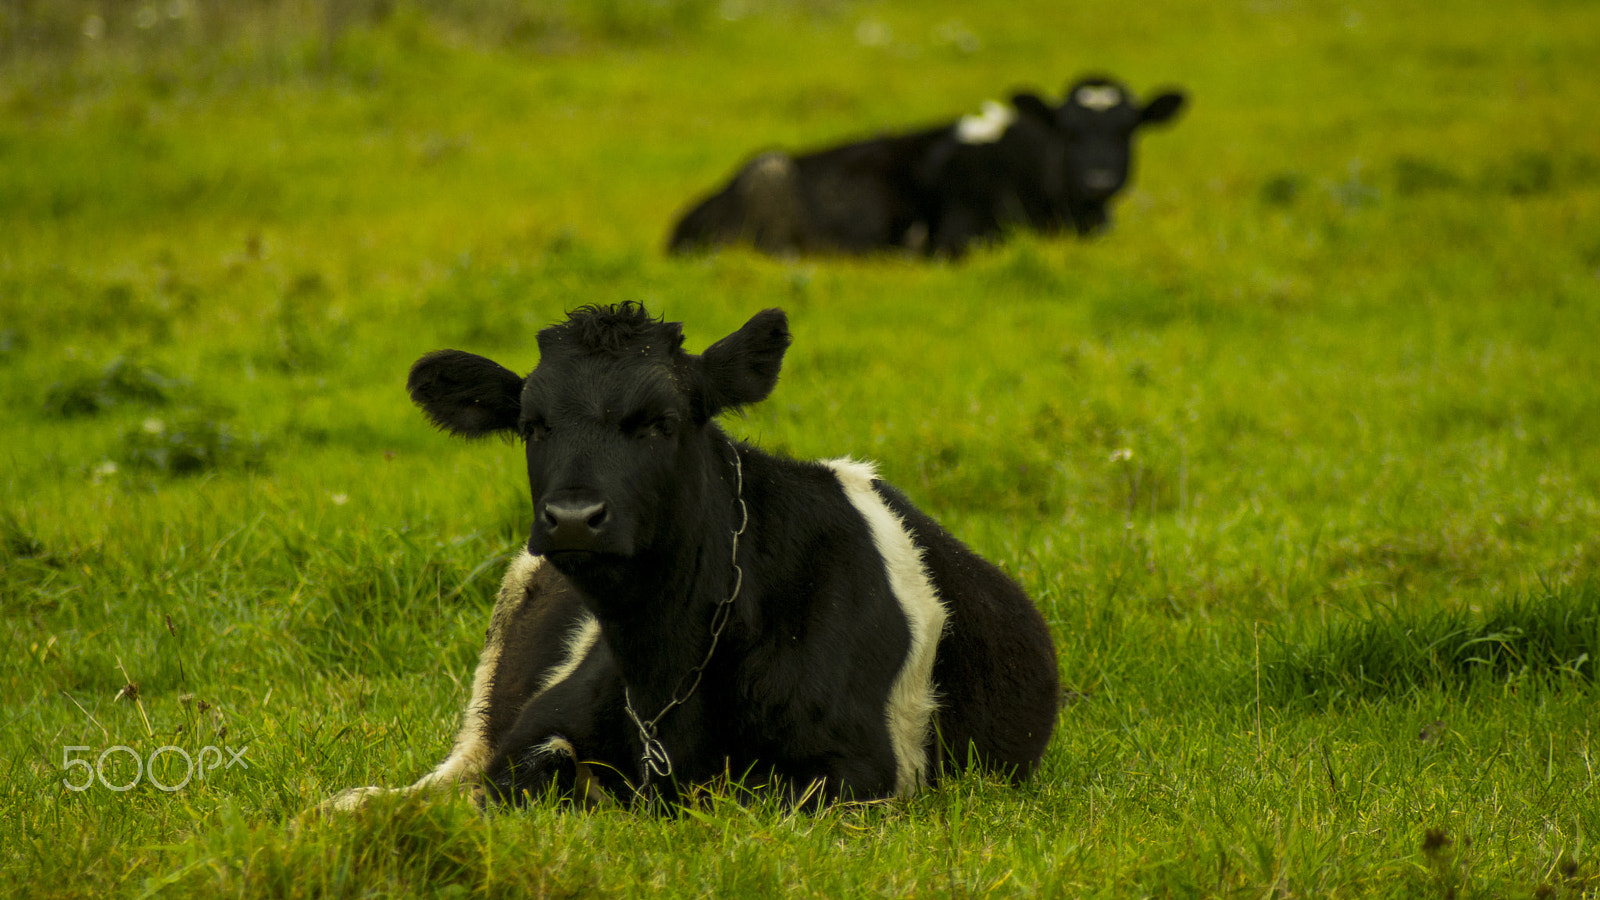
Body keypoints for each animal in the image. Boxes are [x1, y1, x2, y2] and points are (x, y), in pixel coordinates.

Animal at [325, 302, 1059, 812]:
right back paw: (354, 803)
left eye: (662, 420)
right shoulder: (533, 731)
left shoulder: (865, 769)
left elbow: (756, 801)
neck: (670, 666)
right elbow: (524, 777)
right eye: (533, 425)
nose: (573, 518)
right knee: (448, 772)